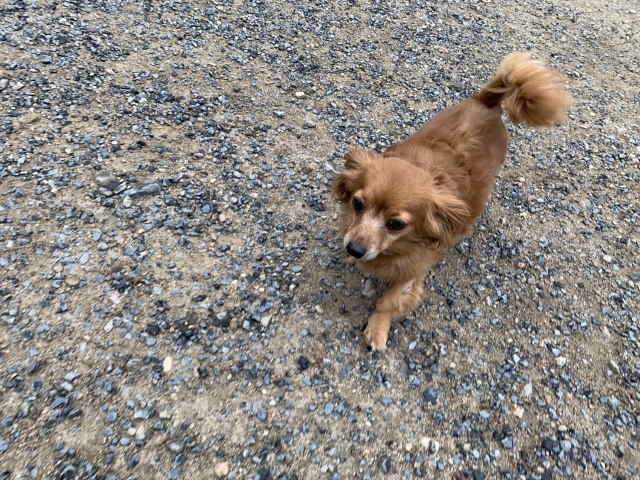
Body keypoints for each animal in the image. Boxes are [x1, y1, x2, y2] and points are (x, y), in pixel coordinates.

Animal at [333, 52, 572, 351]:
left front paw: (377, 329)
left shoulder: (412, 274)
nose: (353, 249)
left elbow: (389, 302)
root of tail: (485, 101)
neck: (395, 248)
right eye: (357, 204)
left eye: (396, 224)